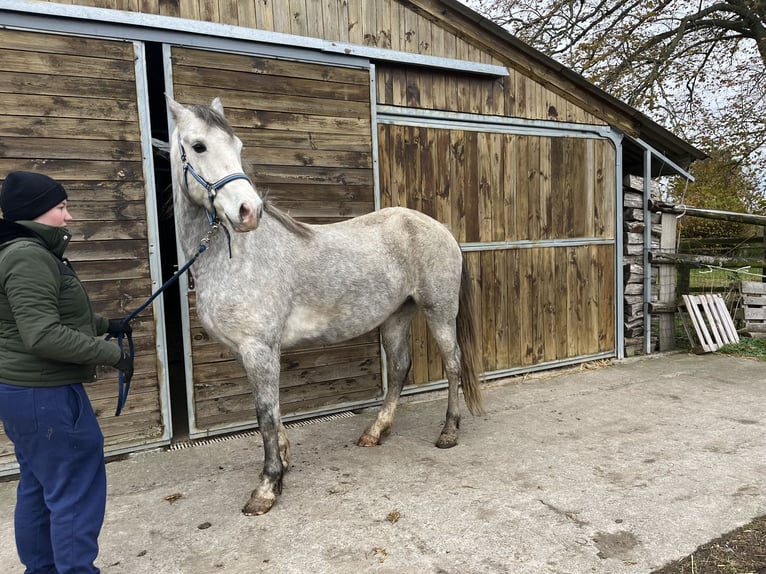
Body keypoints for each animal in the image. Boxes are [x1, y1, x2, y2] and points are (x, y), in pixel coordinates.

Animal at [166, 95, 486, 516]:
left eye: (238, 147)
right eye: (198, 146)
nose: (248, 211)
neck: (237, 256)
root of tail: (440, 227)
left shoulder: (259, 348)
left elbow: (264, 414)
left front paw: (267, 487)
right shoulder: (250, 351)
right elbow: (273, 410)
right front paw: (283, 462)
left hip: (440, 312)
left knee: (452, 365)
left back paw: (449, 432)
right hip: (396, 315)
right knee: (400, 367)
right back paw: (375, 431)